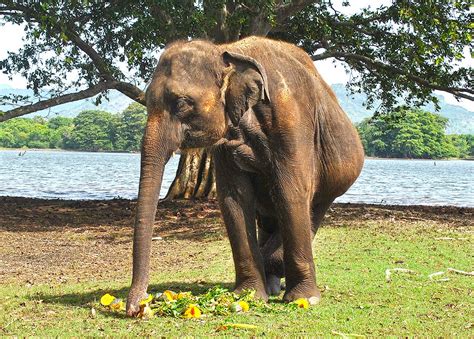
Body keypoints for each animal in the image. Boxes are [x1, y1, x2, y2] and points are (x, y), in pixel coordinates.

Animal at [125, 35, 362, 318]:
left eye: (181, 104)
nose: (137, 307)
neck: (228, 50)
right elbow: (234, 198)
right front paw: (247, 295)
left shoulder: (292, 118)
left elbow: (291, 192)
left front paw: (304, 299)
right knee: (270, 218)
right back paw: (271, 284)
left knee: (310, 207)